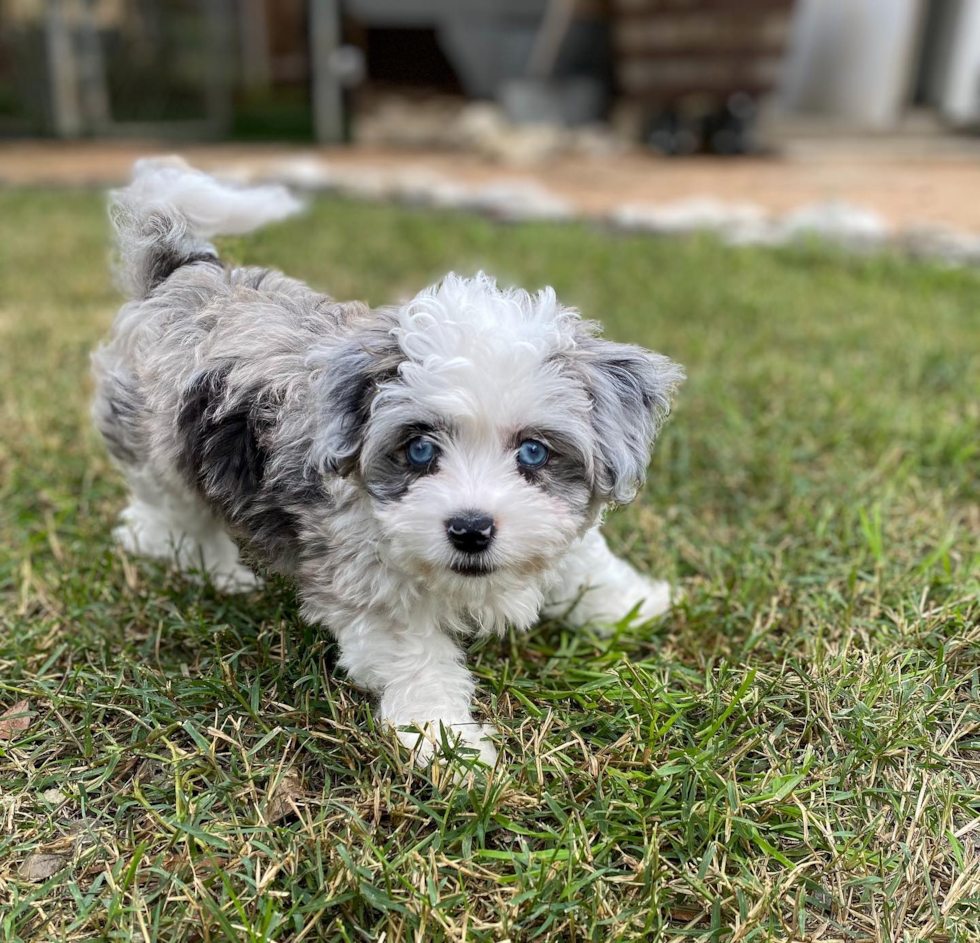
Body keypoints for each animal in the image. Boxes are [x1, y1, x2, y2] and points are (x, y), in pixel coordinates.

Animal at [95, 160, 684, 768]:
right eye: (420, 449)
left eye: (533, 451)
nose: (471, 530)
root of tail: (183, 272)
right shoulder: (370, 589)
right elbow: (417, 661)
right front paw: (448, 745)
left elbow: (587, 565)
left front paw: (638, 605)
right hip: (157, 449)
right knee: (163, 521)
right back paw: (214, 569)